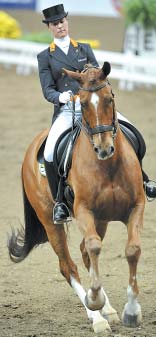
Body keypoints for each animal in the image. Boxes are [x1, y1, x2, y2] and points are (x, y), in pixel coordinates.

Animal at [8, 61, 145, 332]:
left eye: (109, 98)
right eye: (82, 103)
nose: (104, 148)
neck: (108, 165)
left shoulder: (136, 206)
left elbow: (132, 249)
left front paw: (131, 311)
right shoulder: (83, 211)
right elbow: (93, 247)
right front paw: (95, 301)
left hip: (101, 220)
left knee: (84, 254)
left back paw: (108, 309)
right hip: (51, 221)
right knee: (68, 265)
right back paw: (97, 317)